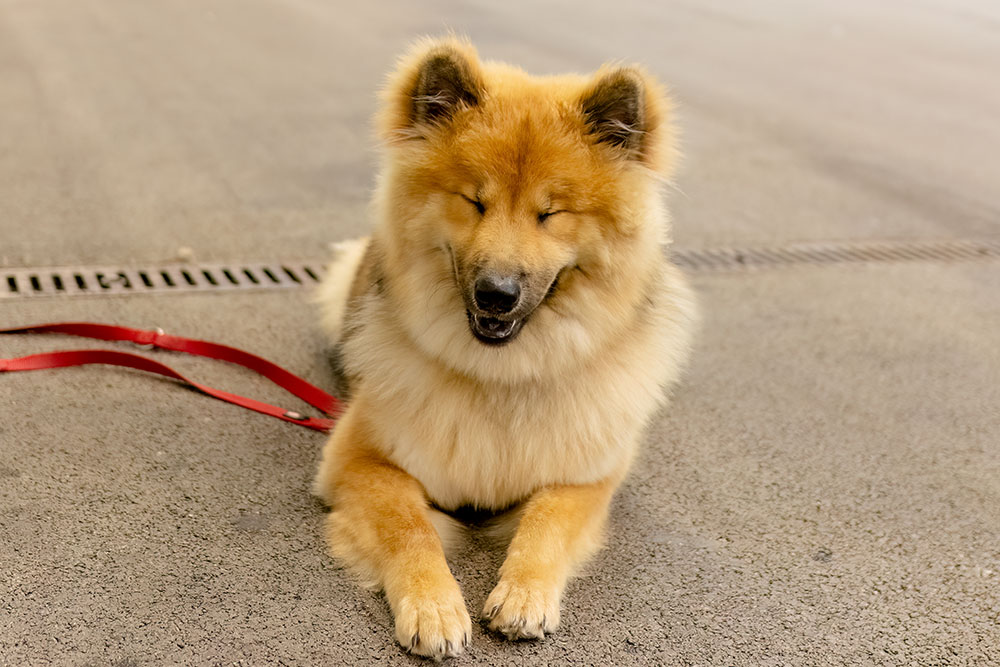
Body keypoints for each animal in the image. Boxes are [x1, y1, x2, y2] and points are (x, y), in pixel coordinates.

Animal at [312, 37, 696, 664]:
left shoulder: (586, 478)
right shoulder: (360, 461)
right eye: (474, 202)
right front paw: (433, 606)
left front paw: (524, 594)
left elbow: (547, 522)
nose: (496, 293)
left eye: (551, 213)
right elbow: (409, 527)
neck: (501, 375)